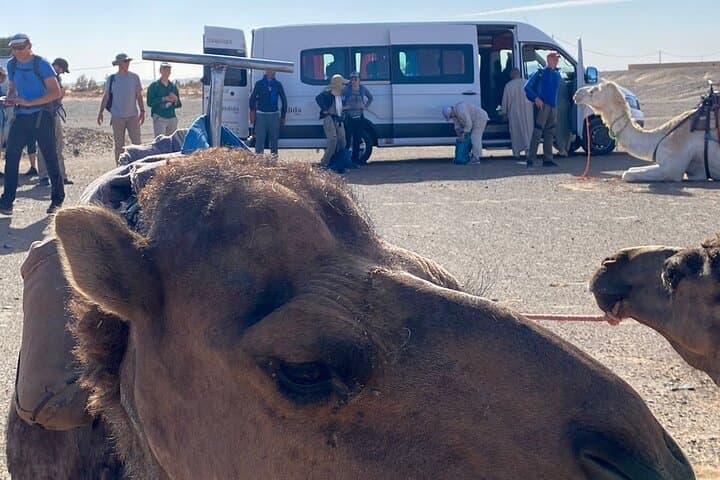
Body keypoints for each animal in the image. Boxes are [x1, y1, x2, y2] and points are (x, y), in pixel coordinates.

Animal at [573, 81, 720, 182]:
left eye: (593, 90)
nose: (576, 94)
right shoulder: (694, 171)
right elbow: (631, 169)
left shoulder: (672, 168)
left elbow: (627, 174)